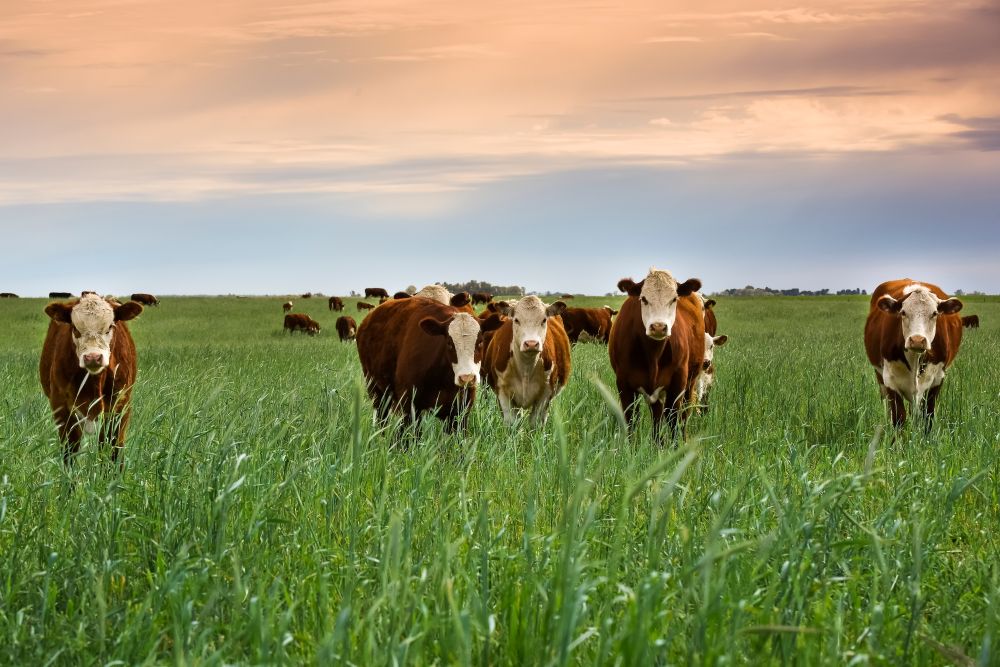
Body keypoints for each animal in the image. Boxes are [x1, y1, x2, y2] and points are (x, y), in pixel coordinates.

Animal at [39, 294, 143, 466]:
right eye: (75, 328)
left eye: (110, 327)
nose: (93, 357)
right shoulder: (62, 408)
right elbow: (70, 452)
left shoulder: (119, 408)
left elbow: (112, 450)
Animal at [356, 293, 503, 432]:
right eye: (449, 343)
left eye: (480, 342)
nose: (467, 378)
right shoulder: (409, 408)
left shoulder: (460, 413)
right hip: (376, 391)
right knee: (382, 419)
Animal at [482, 296, 571, 425]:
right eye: (516, 320)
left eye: (544, 320)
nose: (531, 344)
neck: (526, 368)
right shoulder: (502, 392)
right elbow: (512, 423)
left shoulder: (546, 393)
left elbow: (535, 422)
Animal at [609, 268, 704, 440]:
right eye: (644, 299)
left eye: (674, 299)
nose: (659, 327)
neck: (653, 355)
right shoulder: (624, 385)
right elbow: (631, 422)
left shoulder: (678, 383)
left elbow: (674, 422)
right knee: (658, 419)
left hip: (690, 383)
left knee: (682, 417)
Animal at [864, 279, 964, 430]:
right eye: (903, 312)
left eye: (934, 313)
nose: (917, 340)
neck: (915, 359)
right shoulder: (890, 380)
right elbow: (898, 418)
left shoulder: (937, 380)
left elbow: (927, 417)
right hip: (880, 377)